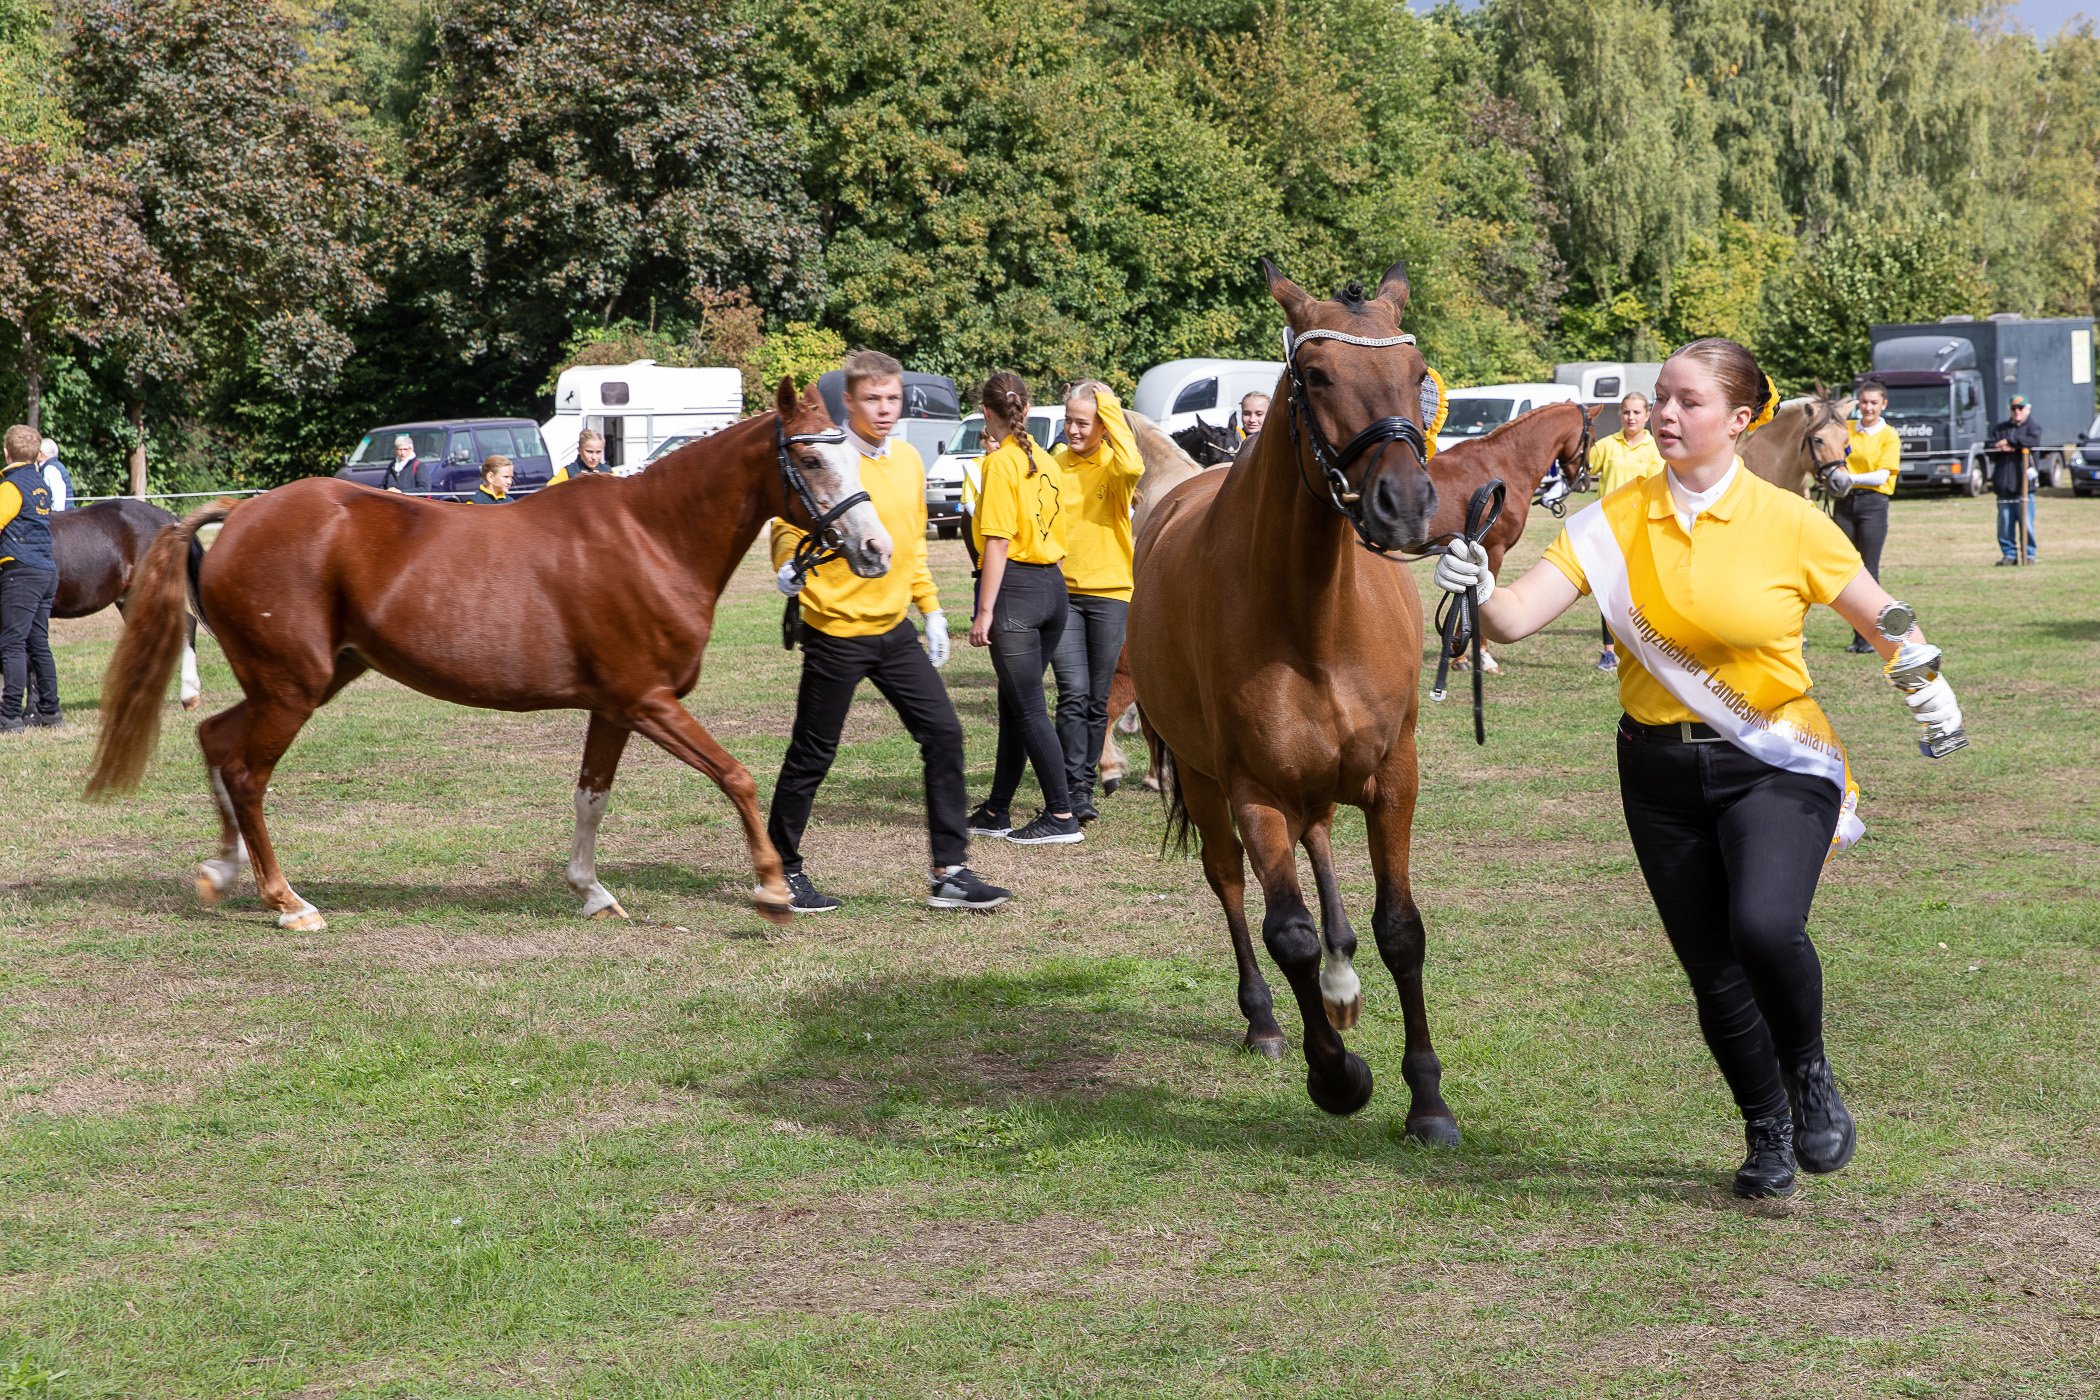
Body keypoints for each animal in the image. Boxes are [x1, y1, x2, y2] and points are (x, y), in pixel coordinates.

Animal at [79, 377, 886, 936]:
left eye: (851, 452)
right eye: (809, 456)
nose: (876, 550)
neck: (651, 538)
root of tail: (241, 513)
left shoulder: (615, 706)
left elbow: (592, 794)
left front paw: (592, 892)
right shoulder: (650, 701)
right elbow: (737, 776)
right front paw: (773, 891)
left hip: (309, 678)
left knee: (216, 738)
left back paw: (222, 873)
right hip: (291, 690)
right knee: (247, 773)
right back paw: (288, 902)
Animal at [1134, 260, 1461, 1141]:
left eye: (1418, 372)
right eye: (1315, 376)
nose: (1405, 504)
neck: (1314, 618)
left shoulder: (1394, 779)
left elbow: (1401, 930)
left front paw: (1428, 1100)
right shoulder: (1255, 790)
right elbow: (1288, 933)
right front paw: (1337, 1076)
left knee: (1321, 849)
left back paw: (1343, 985)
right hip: (1204, 781)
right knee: (1230, 882)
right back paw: (1269, 1018)